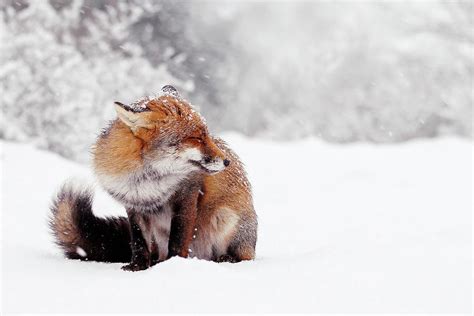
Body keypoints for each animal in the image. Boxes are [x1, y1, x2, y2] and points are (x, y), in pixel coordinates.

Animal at [49, 85, 258, 270]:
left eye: (207, 135)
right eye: (197, 138)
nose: (227, 161)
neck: (148, 181)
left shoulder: (187, 197)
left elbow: (178, 240)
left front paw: (173, 265)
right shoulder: (134, 204)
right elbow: (139, 242)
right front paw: (138, 266)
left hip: (224, 217)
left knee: (244, 257)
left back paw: (226, 258)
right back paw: (157, 262)